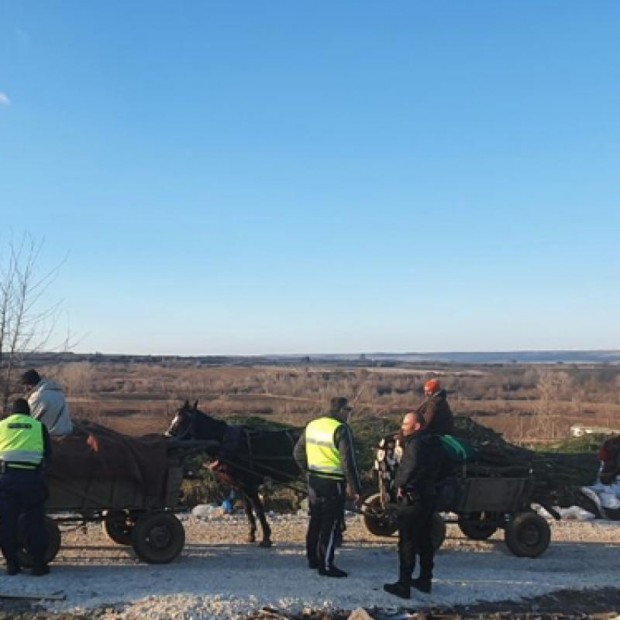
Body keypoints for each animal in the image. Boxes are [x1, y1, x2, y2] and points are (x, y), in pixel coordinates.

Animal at [165, 402, 300, 544]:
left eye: (181, 420)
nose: (167, 440)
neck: (226, 442)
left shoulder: (251, 485)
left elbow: (258, 510)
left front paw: (266, 538)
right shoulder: (240, 486)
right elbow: (247, 509)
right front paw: (251, 535)